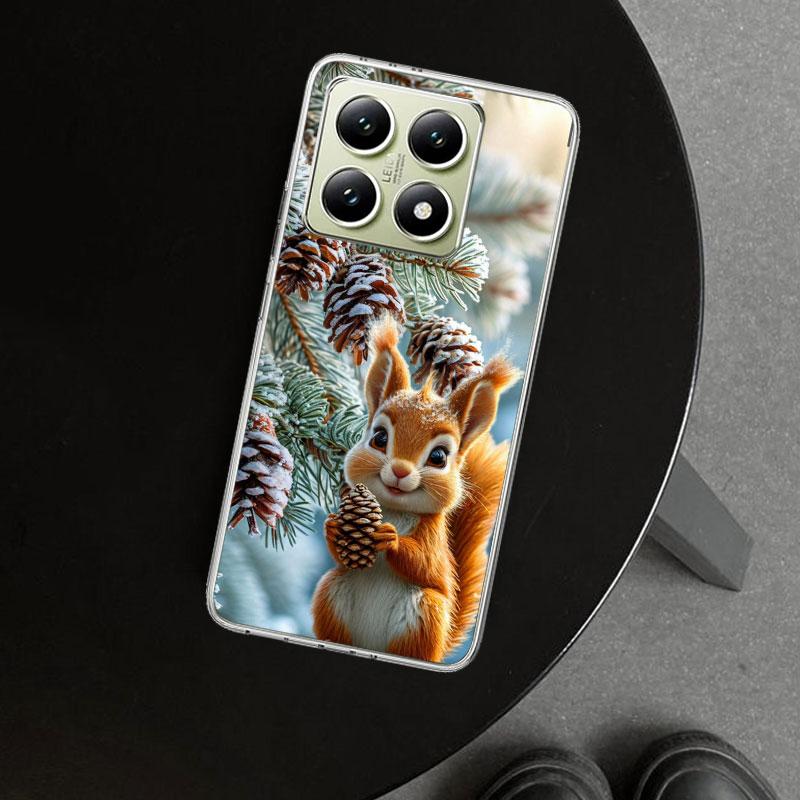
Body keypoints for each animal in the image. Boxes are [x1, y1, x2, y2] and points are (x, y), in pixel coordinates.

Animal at [311, 316, 520, 663]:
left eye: (439, 457)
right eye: (379, 438)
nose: (399, 471)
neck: (394, 511)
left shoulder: (434, 538)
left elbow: (426, 564)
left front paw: (391, 539)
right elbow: (338, 554)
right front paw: (332, 527)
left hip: (424, 613)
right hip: (330, 595)